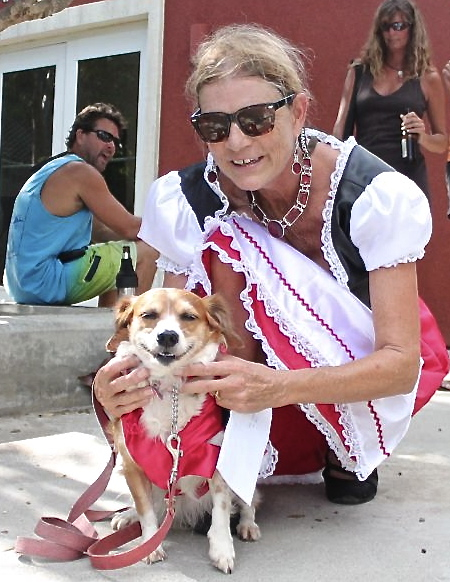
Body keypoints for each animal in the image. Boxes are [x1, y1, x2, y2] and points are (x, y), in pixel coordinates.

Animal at [108, 290, 260, 572]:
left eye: (189, 317)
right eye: (149, 315)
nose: (167, 336)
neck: (171, 391)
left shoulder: (217, 462)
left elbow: (222, 510)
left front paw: (222, 549)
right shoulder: (133, 464)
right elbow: (146, 511)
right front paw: (150, 545)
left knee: (248, 502)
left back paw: (248, 525)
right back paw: (128, 515)